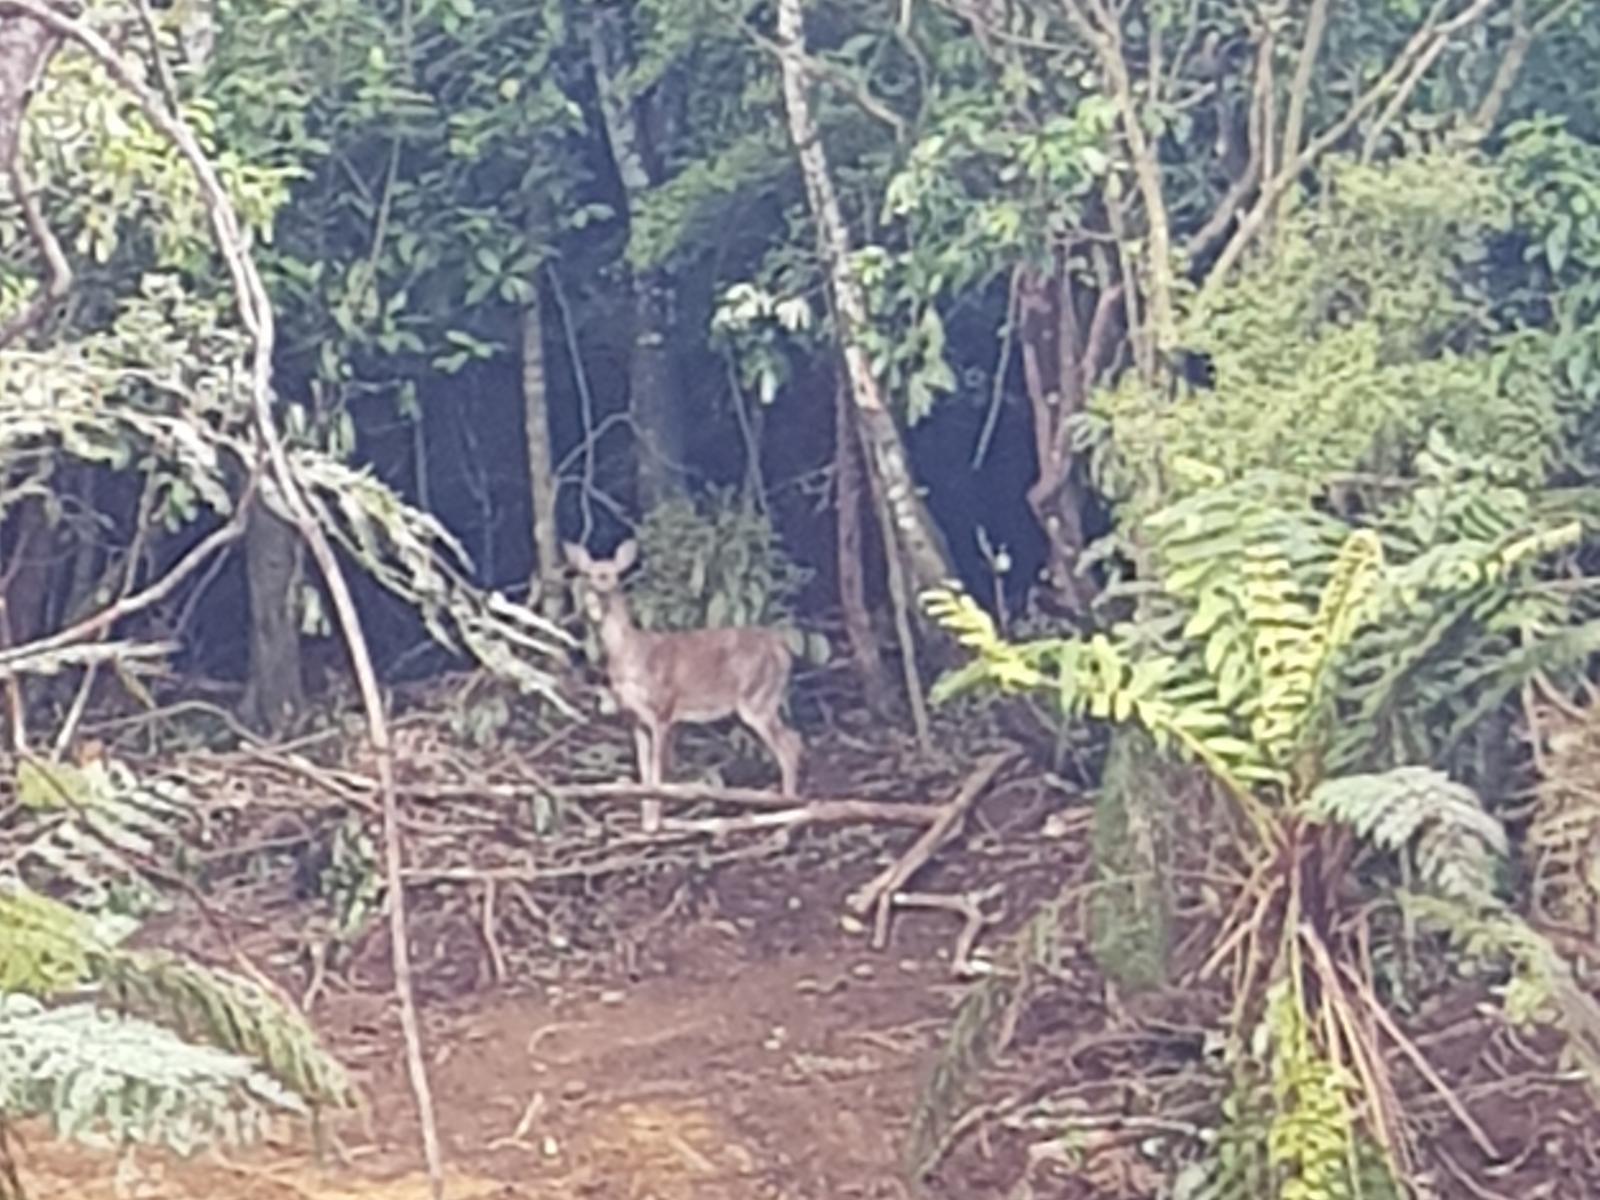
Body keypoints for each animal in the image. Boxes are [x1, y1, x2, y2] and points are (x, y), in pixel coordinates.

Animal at [564, 539, 802, 833]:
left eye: (611, 574)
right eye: (587, 573)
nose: (597, 588)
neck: (628, 652)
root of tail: (784, 650)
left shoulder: (663, 709)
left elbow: (657, 772)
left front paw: (653, 824)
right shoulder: (633, 718)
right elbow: (643, 772)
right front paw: (646, 822)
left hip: (758, 697)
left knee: (789, 745)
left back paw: (787, 809)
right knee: (795, 739)